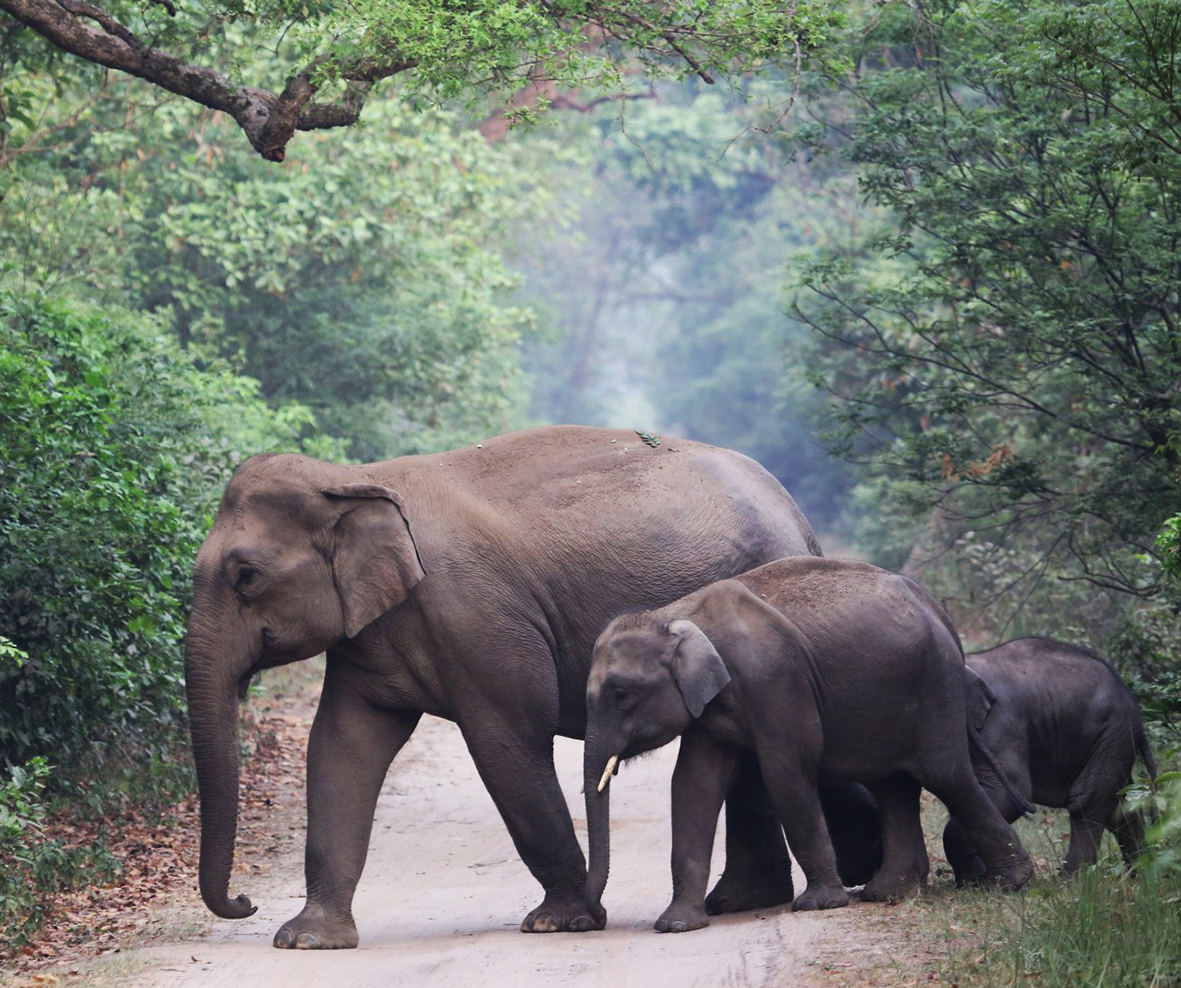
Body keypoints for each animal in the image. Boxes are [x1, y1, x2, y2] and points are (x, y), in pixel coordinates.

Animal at [184, 425, 827, 949]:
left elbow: (507, 744)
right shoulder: (368, 632)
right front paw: (308, 939)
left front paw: (559, 922)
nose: (245, 902)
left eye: (246, 577)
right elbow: (342, 747)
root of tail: (801, 520)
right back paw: (741, 900)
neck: (351, 478)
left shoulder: (478, 619)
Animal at [583, 556, 1034, 933]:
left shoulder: (774, 678)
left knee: (946, 774)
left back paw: (1011, 883)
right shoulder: (709, 702)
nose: (598, 917)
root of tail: (940, 612)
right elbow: (695, 784)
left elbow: (785, 770)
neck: (675, 615)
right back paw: (889, 893)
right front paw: (676, 926)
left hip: (934, 685)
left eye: (620, 694)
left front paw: (819, 905)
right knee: (893, 784)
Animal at [944, 637, 1159, 883]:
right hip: (1114, 742)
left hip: (1113, 735)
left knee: (1086, 803)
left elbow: (1009, 793)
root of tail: (1136, 712)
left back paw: (1070, 881)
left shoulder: (999, 724)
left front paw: (975, 879)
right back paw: (1144, 874)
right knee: (1121, 806)